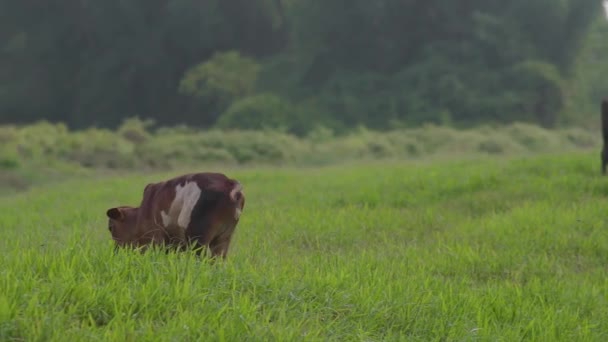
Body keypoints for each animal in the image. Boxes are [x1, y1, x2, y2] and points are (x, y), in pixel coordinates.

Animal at [105, 172, 245, 258]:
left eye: (111, 228)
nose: (115, 252)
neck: (139, 215)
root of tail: (229, 183)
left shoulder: (155, 239)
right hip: (223, 239)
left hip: (197, 240)